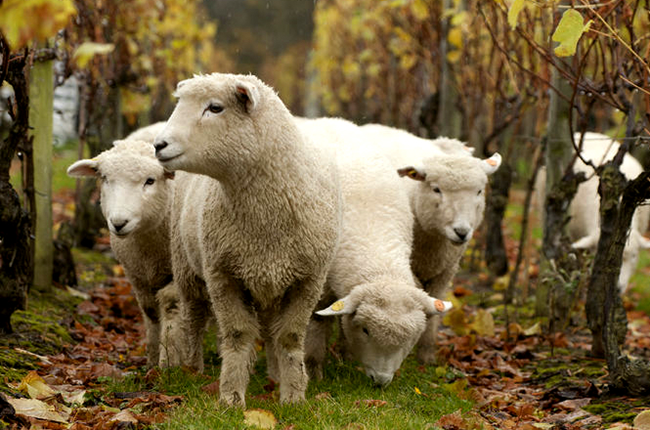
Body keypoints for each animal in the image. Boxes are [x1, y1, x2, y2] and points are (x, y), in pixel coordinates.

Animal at [67, 137, 179, 366]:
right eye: (105, 179)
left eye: (150, 181)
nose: (119, 223)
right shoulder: (137, 275)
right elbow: (150, 311)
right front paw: (152, 360)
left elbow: (171, 307)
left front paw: (170, 365)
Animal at [153, 73, 342, 406]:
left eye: (215, 108)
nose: (158, 145)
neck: (264, 223)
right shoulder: (223, 276)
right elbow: (238, 335)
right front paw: (231, 397)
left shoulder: (308, 281)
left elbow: (289, 336)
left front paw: (293, 397)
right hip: (189, 269)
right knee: (194, 319)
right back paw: (193, 369)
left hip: (269, 283)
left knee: (269, 330)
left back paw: (274, 376)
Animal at [296, 117, 452, 386]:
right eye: (366, 330)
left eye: (410, 338)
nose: (380, 381)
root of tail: (326, 119)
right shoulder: (320, 283)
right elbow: (317, 322)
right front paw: (315, 372)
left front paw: (346, 356)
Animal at [396, 152, 502, 364]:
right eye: (436, 189)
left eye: (479, 191)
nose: (461, 232)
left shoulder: (447, 270)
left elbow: (435, 305)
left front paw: (426, 356)